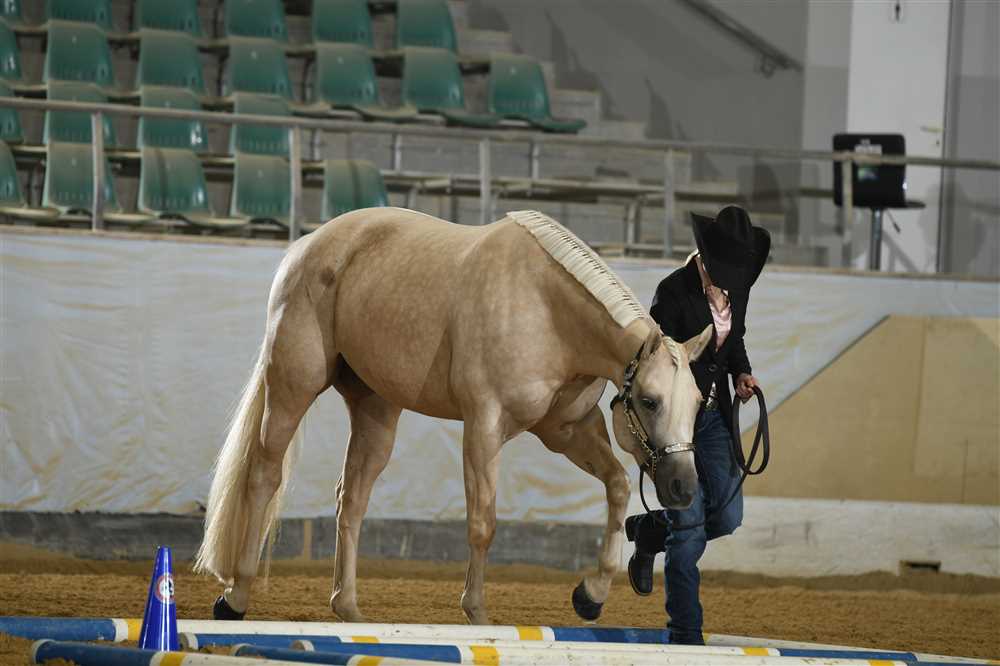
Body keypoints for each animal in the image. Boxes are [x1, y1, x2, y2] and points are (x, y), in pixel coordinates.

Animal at [193, 208, 712, 625]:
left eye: (698, 403)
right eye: (650, 400)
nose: (684, 487)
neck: (548, 312)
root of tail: (307, 245)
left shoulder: (565, 432)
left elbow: (618, 487)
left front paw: (591, 594)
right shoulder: (483, 427)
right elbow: (483, 522)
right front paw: (476, 611)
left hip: (376, 411)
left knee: (352, 498)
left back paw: (348, 607)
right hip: (293, 387)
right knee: (264, 476)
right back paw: (235, 597)